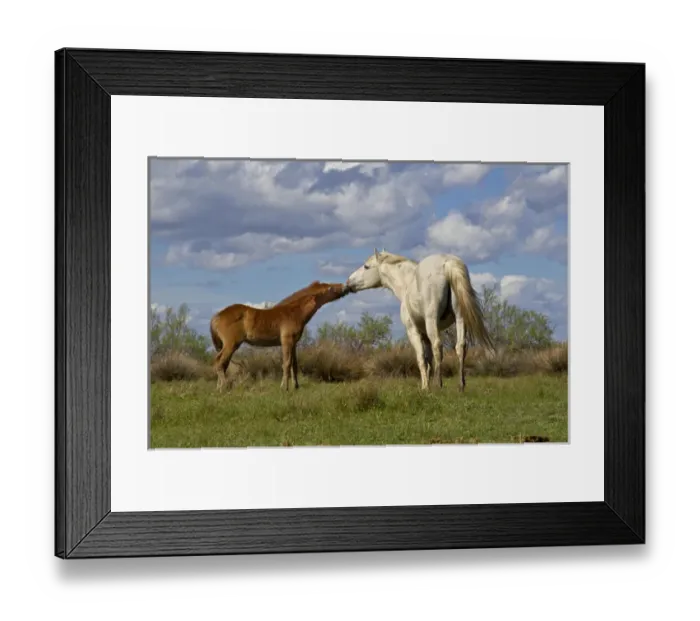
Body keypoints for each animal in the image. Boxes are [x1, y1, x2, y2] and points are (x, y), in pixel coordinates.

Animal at [209, 281, 349, 391]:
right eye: (330, 288)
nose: (345, 287)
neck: (294, 313)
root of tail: (217, 317)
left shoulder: (293, 343)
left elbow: (294, 365)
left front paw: (296, 386)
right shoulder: (286, 341)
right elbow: (286, 364)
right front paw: (284, 387)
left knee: (223, 364)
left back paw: (218, 388)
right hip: (231, 344)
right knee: (219, 362)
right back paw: (224, 387)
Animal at [346, 249, 494, 391]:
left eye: (366, 266)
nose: (348, 282)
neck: (407, 283)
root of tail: (447, 262)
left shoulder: (413, 331)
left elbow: (421, 359)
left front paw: (425, 387)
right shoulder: (425, 335)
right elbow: (429, 360)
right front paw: (426, 384)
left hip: (431, 321)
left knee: (438, 346)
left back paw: (438, 384)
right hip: (460, 318)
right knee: (460, 347)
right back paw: (461, 386)